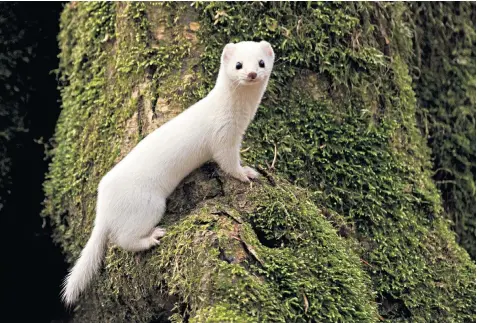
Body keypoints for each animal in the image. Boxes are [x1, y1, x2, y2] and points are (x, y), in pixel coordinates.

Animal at [61, 41, 274, 306]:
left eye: (261, 62)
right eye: (238, 65)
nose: (252, 74)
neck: (238, 116)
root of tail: (102, 206)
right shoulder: (223, 138)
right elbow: (227, 163)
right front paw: (246, 173)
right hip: (149, 205)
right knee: (123, 239)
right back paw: (152, 237)